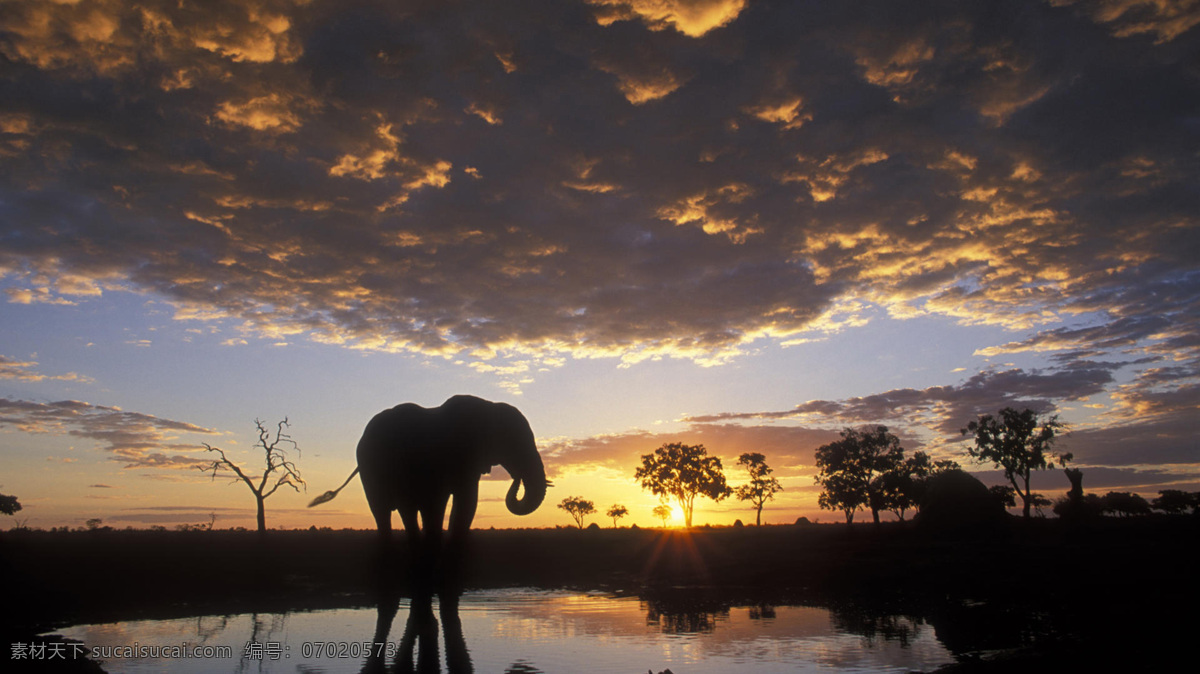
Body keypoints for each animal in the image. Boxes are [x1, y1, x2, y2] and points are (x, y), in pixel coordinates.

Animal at [312, 393, 549, 556]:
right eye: (513, 443)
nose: (516, 478)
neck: (487, 406)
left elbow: (467, 501)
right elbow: (439, 503)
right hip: (371, 471)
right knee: (385, 511)